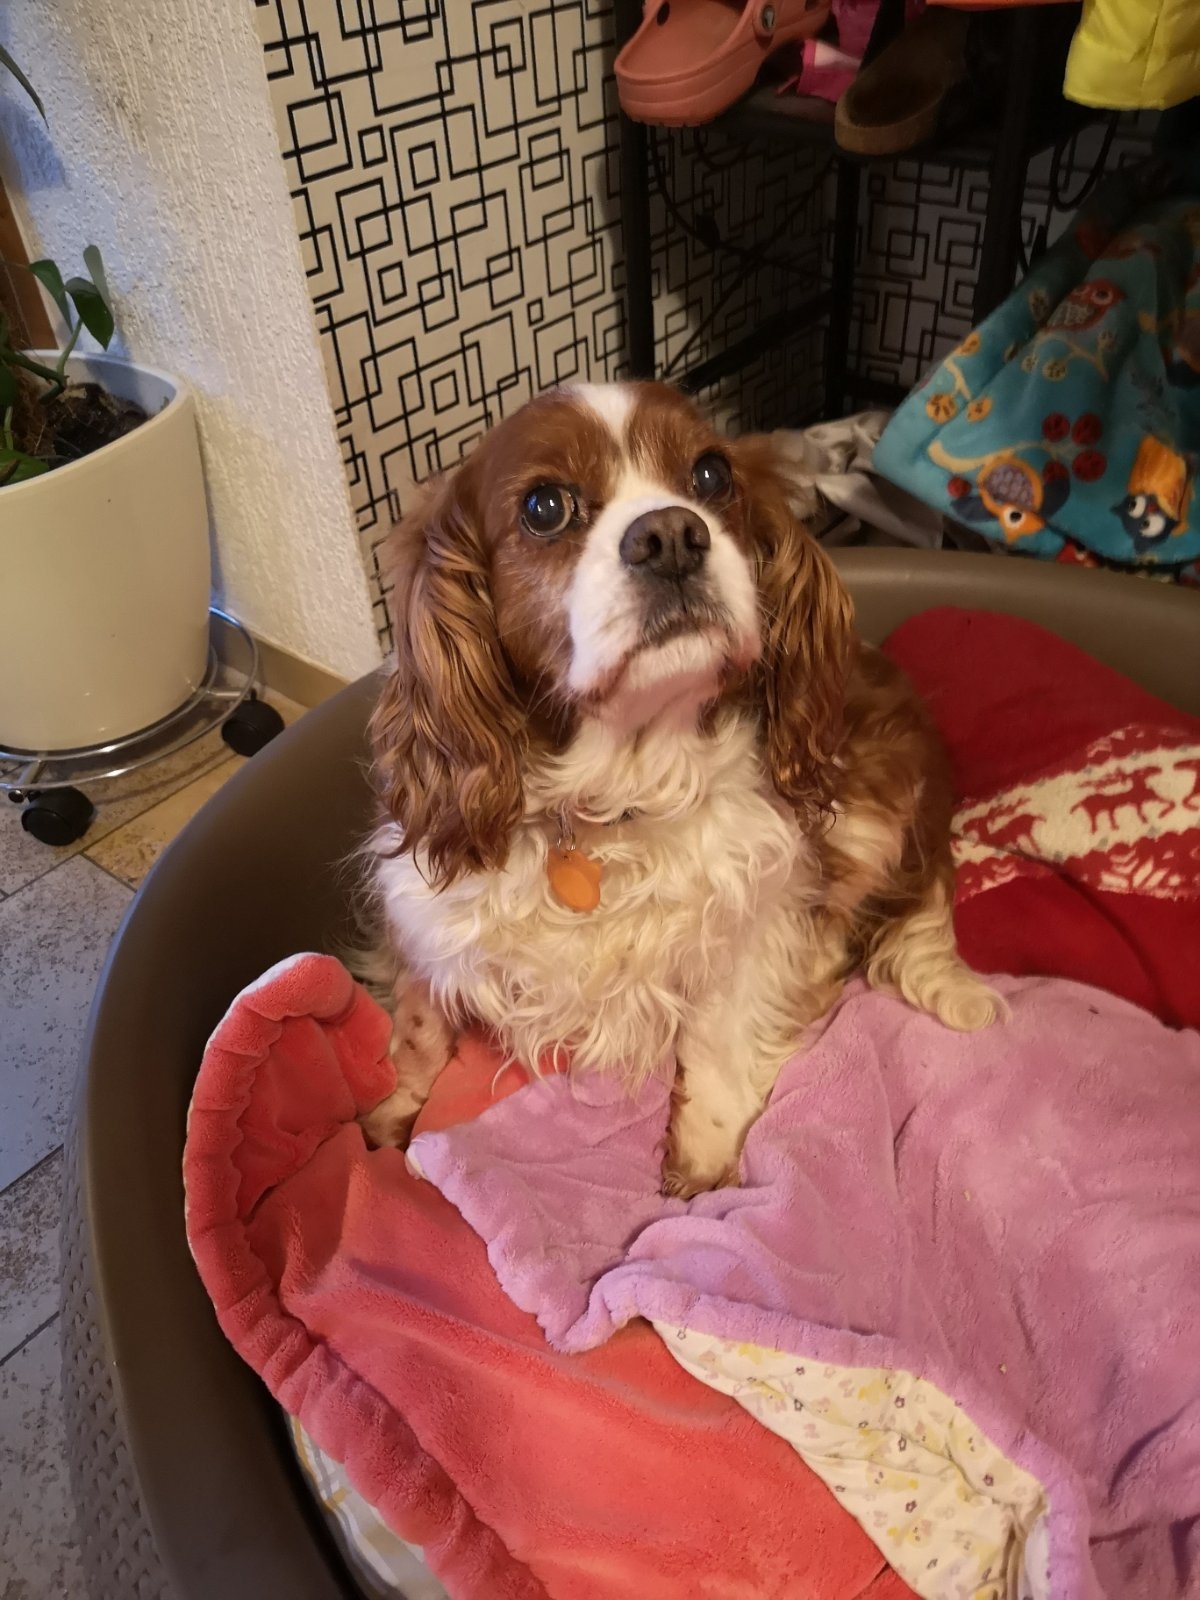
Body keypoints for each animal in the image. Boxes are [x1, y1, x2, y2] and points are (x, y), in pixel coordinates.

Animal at [360, 381, 1000, 1196]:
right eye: (544, 506)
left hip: (875, 806)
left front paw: (702, 1155)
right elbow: (419, 1025)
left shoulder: (760, 913)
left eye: (710, 475)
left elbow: (720, 1037)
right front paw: (398, 1109)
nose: (670, 534)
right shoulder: (424, 911)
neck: (618, 792)